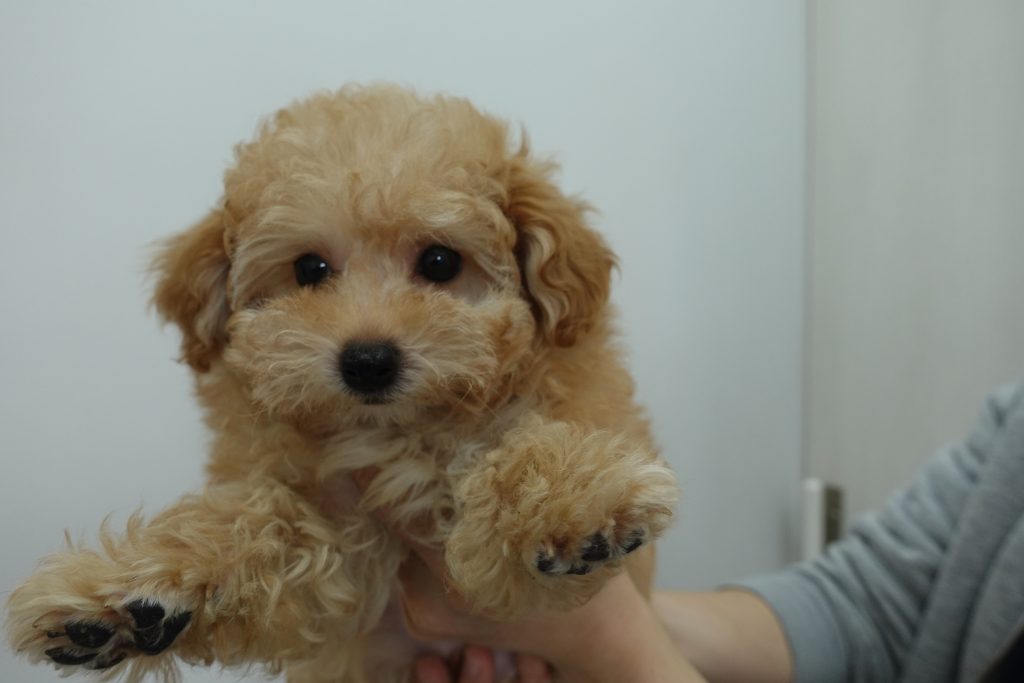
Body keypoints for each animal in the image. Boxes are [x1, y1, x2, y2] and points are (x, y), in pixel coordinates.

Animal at [6, 85, 678, 682]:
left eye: (440, 262)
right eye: (309, 269)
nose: (369, 361)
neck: (393, 432)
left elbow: (514, 453)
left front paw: (569, 501)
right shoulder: (335, 555)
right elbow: (265, 529)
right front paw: (131, 597)